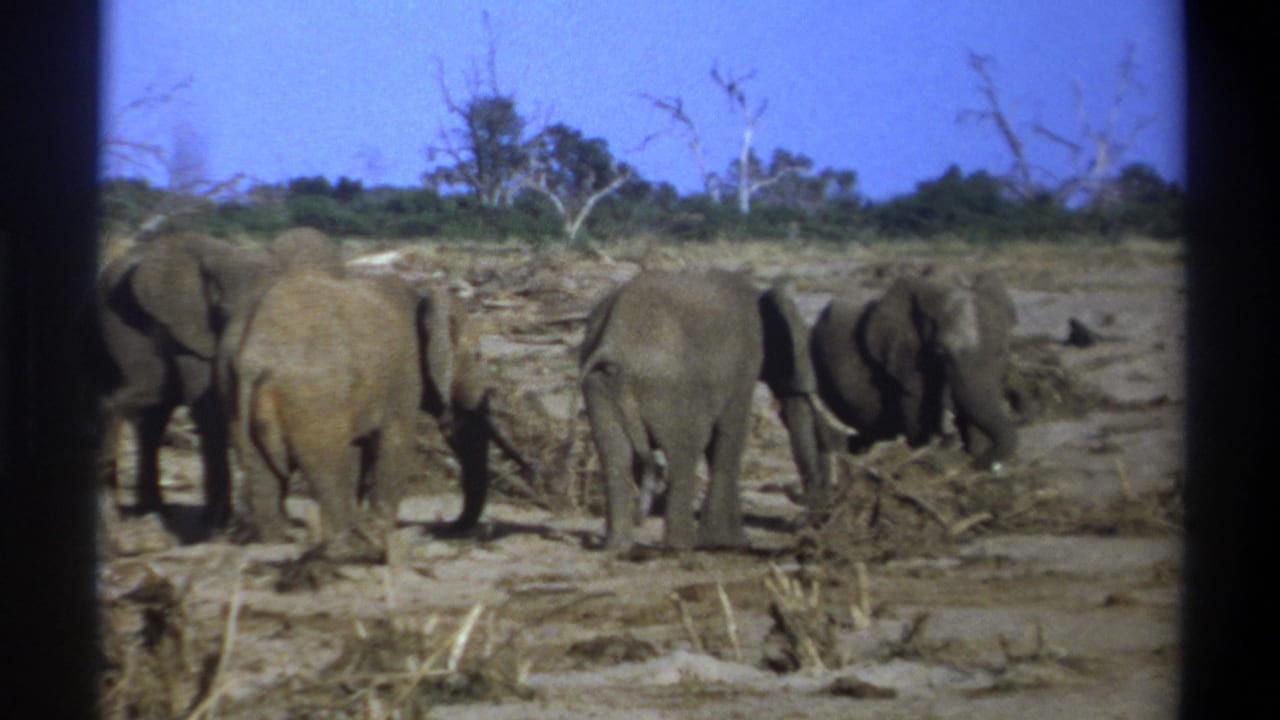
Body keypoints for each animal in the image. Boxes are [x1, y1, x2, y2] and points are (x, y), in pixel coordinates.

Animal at [92, 228, 343, 531]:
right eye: (224, 311)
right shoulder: (189, 325)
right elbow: (209, 408)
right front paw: (216, 526)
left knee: (153, 415)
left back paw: (151, 511)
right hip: (116, 318)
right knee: (150, 404)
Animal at [218, 268, 524, 554]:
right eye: (477, 356)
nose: (446, 527)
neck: (423, 294)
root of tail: (251, 356)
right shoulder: (403, 376)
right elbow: (394, 443)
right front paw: (381, 530)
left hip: (232, 392)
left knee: (262, 471)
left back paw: (278, 539)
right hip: (313, 398)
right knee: (328, 466)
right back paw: (349, 538)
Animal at [579, 269, 823, 552]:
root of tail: (612, 340)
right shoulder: (744, 362)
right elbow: (730, 433)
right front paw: (729, 543)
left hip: (600, 385)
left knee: (614, 455)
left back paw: (617, 547)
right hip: (668, 386)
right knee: (685, 448)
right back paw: (680, 547)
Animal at [808, 271, 1018, 473]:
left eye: (1001, 352)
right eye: (941, 353)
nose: (980, 464)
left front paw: (972, 452)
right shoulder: (904, 359)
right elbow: (917, 417)